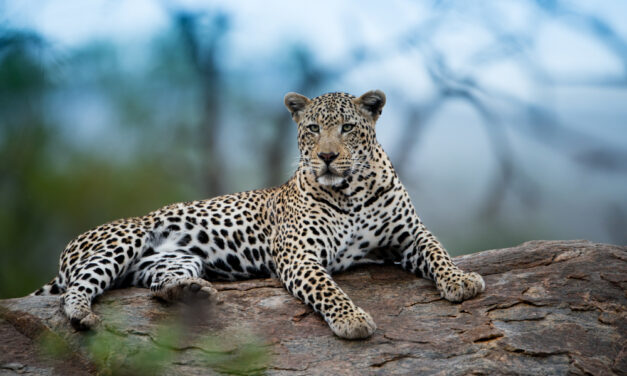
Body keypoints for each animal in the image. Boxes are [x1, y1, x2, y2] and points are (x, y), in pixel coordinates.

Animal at [33, 89, 486, 340]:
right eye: (312, 129)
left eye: (347, 128)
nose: (326, 156)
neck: (351, 193)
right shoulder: (300, 255)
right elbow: (328, 289)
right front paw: (352, 319)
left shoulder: (409, 235)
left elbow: (438, 251)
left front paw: (461, 280)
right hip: (123, 240)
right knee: (77, 290)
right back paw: (83, 316)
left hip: (171, 261)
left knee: (157, 287)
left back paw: (191, 293)